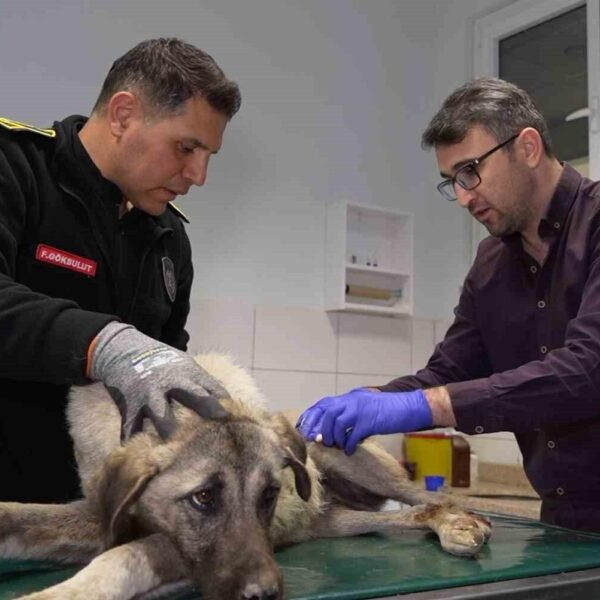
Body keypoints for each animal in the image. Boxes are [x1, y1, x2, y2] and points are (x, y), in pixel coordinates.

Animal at [0, 354, 490, 600]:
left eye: (269, 493)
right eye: (202, 498)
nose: (266, 593)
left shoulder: (181, 550)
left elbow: (126, 556)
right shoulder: (102, 515)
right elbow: (18, 515)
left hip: (351, 459)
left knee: (433, 498)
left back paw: (461, 523)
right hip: (336, 521)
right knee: (405, 514)